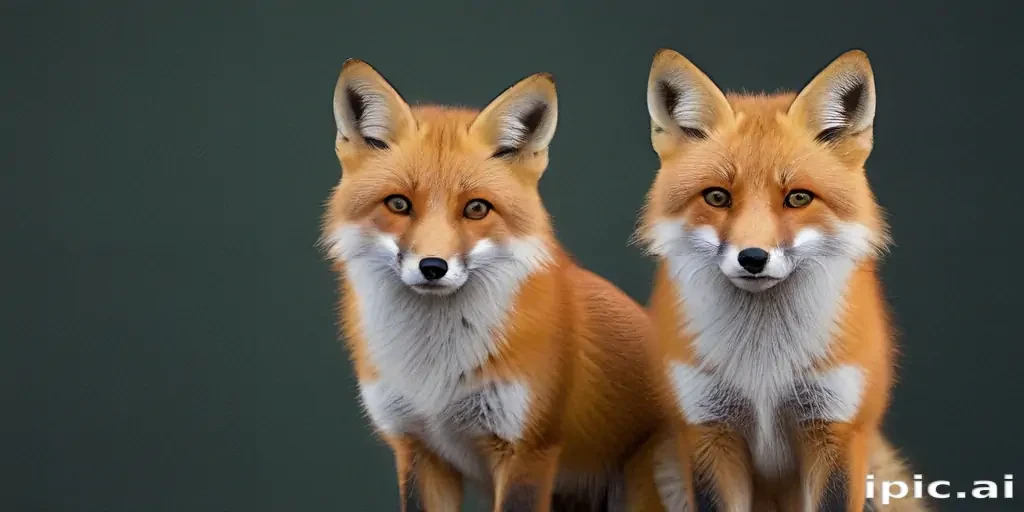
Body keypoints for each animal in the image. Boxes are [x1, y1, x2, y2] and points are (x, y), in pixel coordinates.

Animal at [319, 59, 695, 511]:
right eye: (398, 204)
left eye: (476, 209)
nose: (433, 267)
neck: (435, 370)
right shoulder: (419, 449)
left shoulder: (526, 451)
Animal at [636, 48, 930, 511]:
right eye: (717, 196)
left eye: (798, 198)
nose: (753, 258)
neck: (765, 370)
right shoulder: (707, 429)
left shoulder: (834, 427)